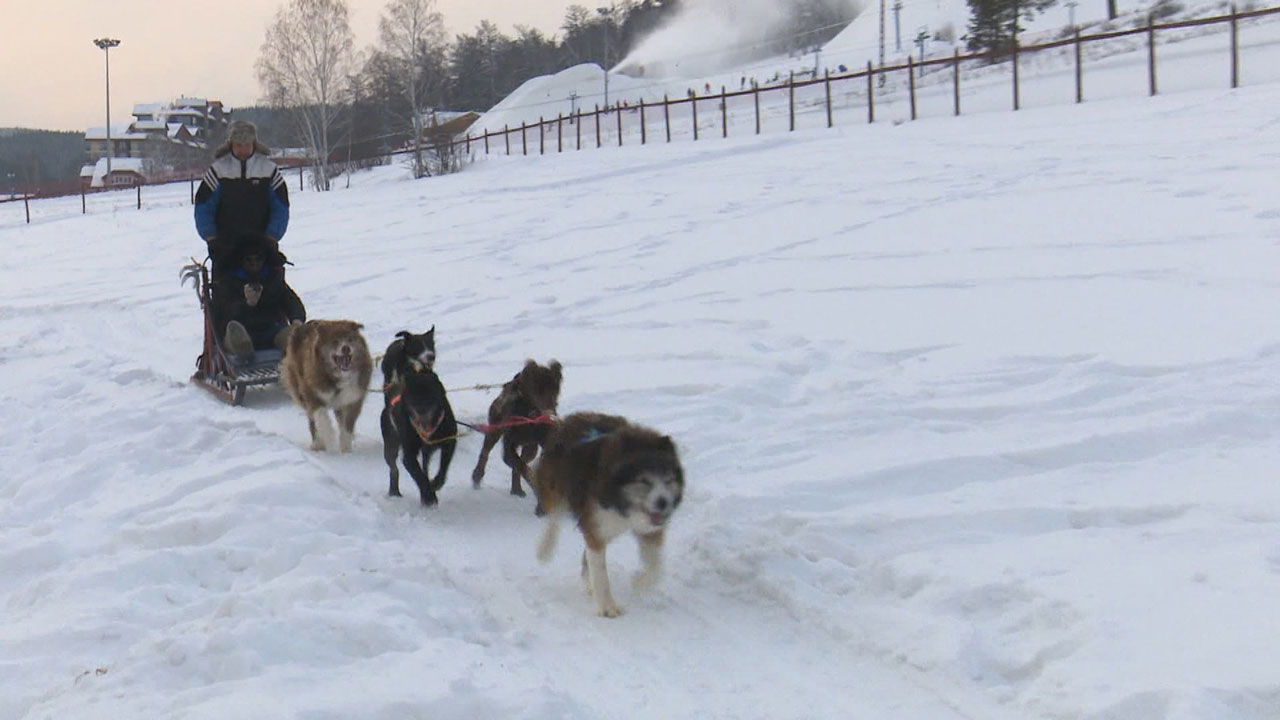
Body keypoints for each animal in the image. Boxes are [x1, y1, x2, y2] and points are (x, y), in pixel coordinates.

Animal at [281, 317, 373, 450]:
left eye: (350, 339)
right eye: (335, 341)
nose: (346, 348)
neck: (338, 377)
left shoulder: (352, 399)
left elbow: (346, 426)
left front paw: (345, 448)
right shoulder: (312, 394)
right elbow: (322, 418)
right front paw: (329, 438)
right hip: (299, 389)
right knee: (312, 420)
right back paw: (317, 443)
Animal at [473, 356, 563, 491]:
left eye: (555, 389)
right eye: (537, 389)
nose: (549, 411)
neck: (529, 415)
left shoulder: (540, 440)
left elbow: (522, 465)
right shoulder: (508, 446)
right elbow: (518, 464)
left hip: (530, 447)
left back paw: (517, 490)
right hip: (495, 429)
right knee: (485, 451)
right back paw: (477, 475)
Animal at [535, 409, 686, 617]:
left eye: (668, 480)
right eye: (644, 481)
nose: (663, 503)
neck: (622, 501)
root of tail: (569, 419)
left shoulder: (648, 530)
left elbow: (656, 567)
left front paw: (639, 581)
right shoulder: (595, 529)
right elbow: (600, 573)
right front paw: (607, 606)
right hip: (556, 487)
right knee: (554, 517)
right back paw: (545, 548)